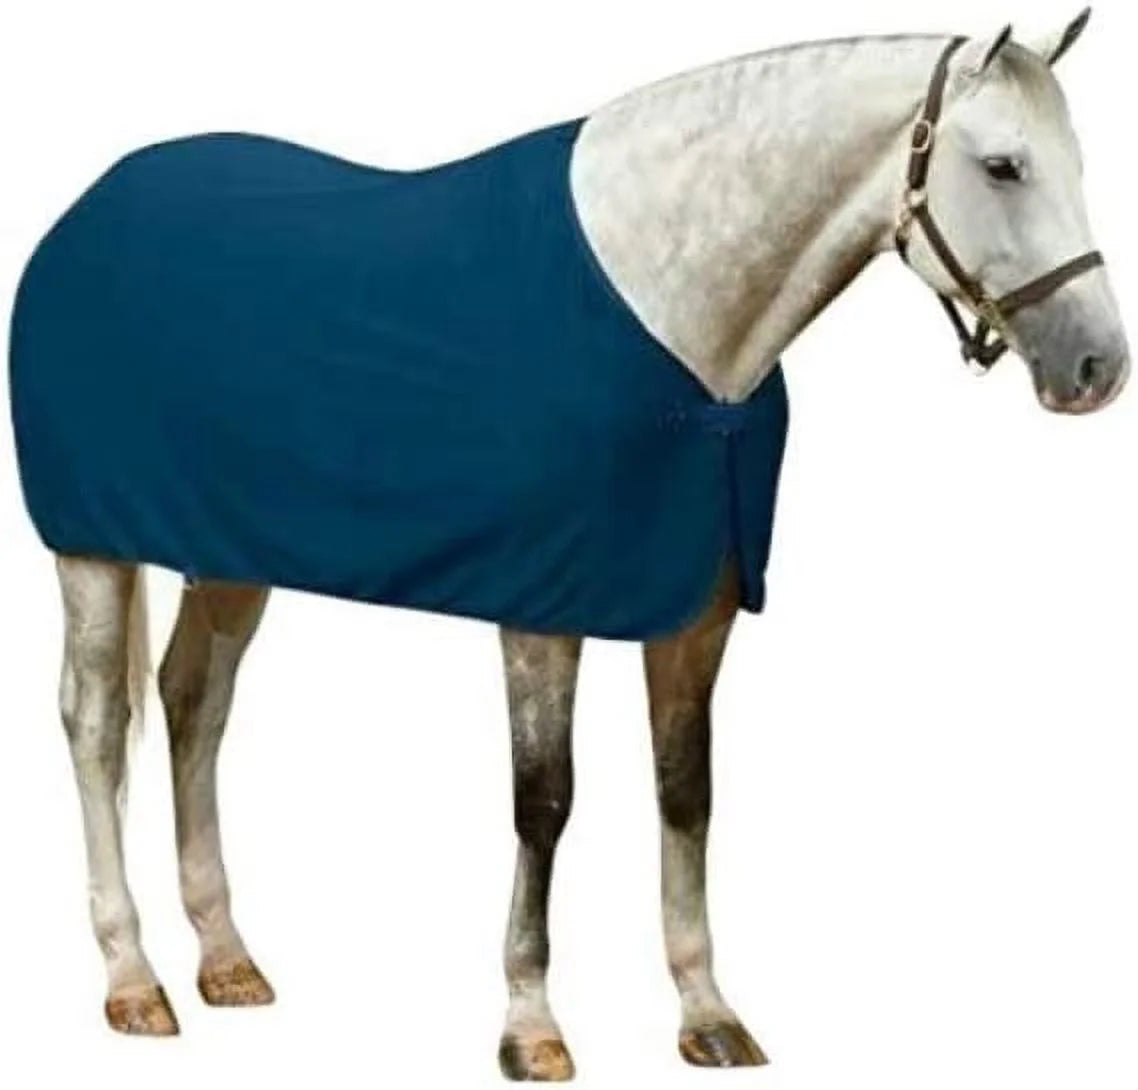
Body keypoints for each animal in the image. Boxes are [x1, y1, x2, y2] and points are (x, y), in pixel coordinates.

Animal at [10, 11, 1128, 1080]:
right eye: (1002, 165)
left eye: (1077, 162)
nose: (1097, 366)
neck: (674, 323)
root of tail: (87, 209)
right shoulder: (542, 608)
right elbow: (543, 801)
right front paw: (530, 1026)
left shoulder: (696, 612)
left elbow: (687, 793)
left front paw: (707, 1013)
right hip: (92, 550)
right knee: (98, 725)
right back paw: (132, 977)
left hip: (231, 553)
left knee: (195, 704)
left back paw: (225, 958)